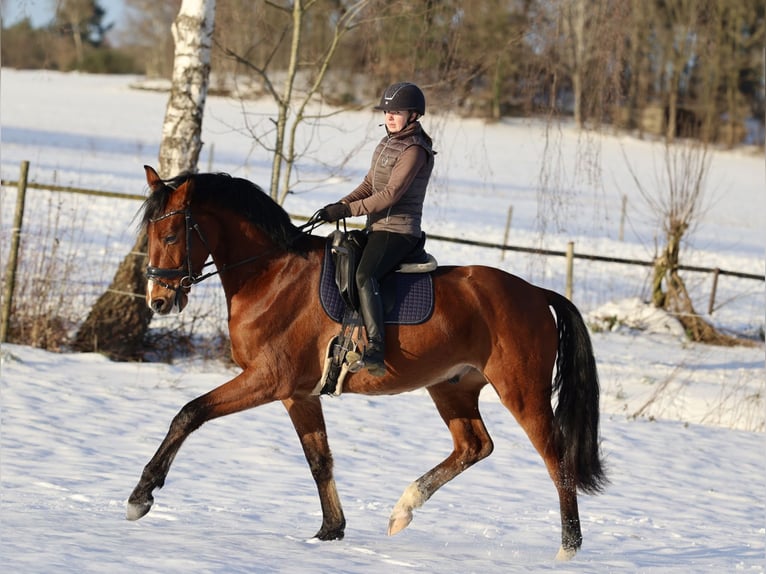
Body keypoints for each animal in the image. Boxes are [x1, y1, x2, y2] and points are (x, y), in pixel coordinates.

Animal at [126, 165, 607, 561]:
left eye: (171, 237)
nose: (158, 301)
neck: (271, 275)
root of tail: (537, 293)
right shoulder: (297, 394)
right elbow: (319, 460)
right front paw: (329, 531)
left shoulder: (267, 379)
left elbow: (190, 414)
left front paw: (141, 497)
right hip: (452, 386)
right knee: (474, 445)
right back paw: (403, 510)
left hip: (521, 391)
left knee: (556, 458)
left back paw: (568, 547)